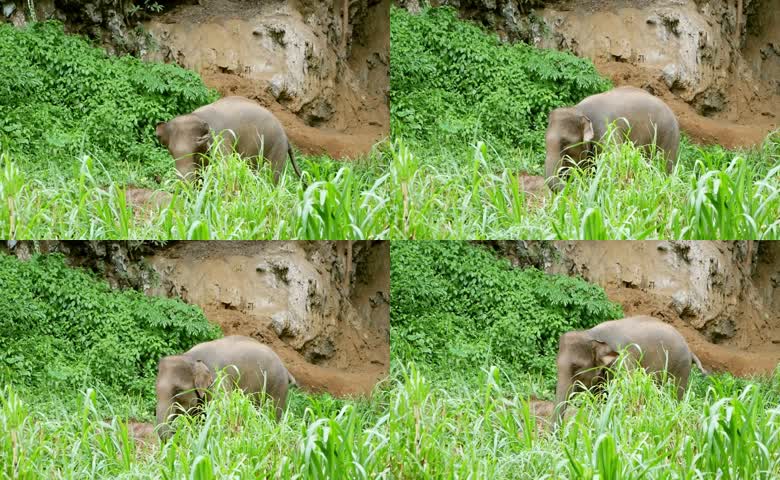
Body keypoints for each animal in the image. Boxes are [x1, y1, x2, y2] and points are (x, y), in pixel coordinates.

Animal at [155, 96, 303, 183]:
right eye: (171, 152)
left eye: (196, 150)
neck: (198, 117)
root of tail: (286, 137)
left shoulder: (220, 139)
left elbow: (224, 168)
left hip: (277, 147)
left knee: (271, 176)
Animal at [155, 335, 296, 440]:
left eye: (178, 391)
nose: (175, 435)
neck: (190, 358)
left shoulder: (218, 381)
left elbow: (222, 412)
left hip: (277, 385)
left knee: (272, 414)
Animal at [544, 86, 680, 192]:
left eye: (565, 143)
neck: (580, 110)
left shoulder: (606, 131)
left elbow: (614, 164)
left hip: (668, 134)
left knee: (665, 166)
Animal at [553, 316, 705, 428]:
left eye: (576, 367)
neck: (591, 334)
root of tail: (690, 351)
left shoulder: (623, 362)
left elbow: (630, 396)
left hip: (680, 368)